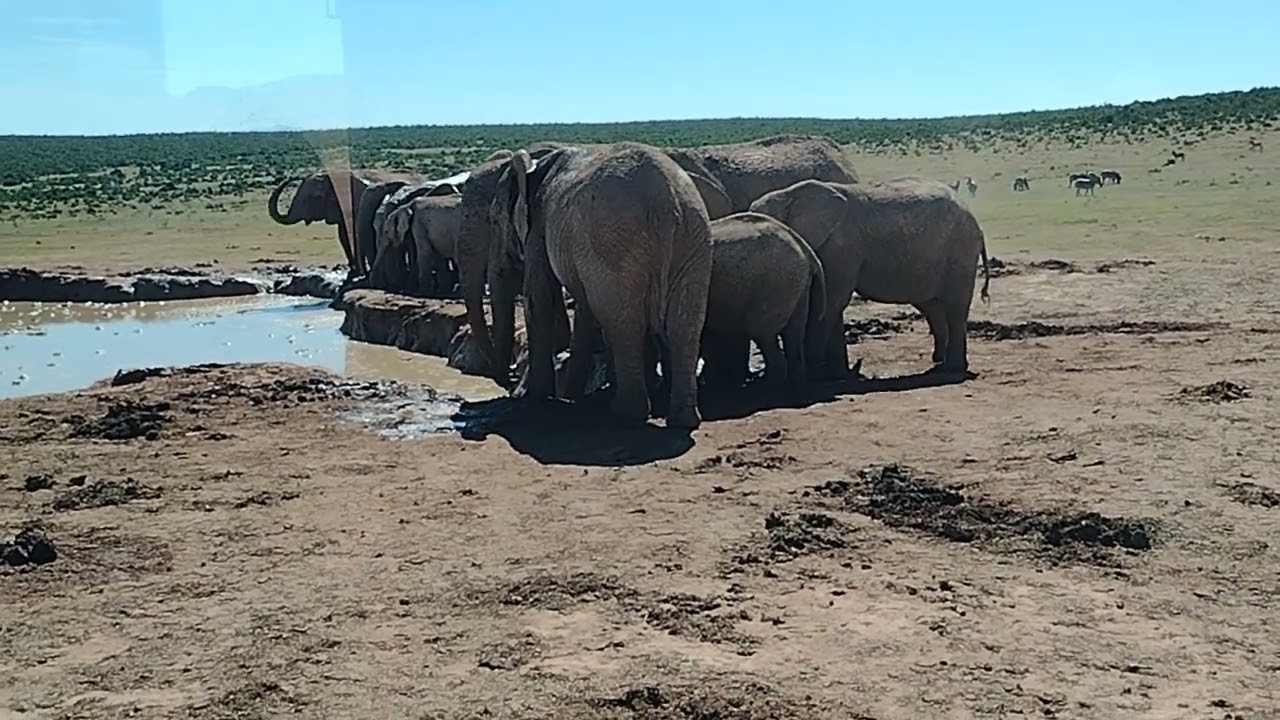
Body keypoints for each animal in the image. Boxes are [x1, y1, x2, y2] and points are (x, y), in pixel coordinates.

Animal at [489, 142, 714, 429]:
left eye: (494, 220)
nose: (505, 382)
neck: (535, 166)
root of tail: (667, 204)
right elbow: (582, 306)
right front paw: (570, 395)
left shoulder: (539, 228)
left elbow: (538, 298)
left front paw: (534, 397)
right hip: (694, 240)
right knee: (684, 325)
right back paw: (683, 419)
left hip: (614, 245)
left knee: (624, 323)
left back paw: (625, 411)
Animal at [698, 212, 827, 391]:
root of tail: (805, 249)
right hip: (797, 285)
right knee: (794, 335)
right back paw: (796, 387)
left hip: (776, 284)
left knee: (763, 334)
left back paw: (764, 388)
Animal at [749, 177, 991, 380]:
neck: (788, 194)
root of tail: (976, 222)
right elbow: (833, 305)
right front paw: (838, 374)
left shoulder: (840, 247)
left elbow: (828, 304)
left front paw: (818, 375)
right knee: (933, 305)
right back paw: (939, 362)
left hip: (960, 251)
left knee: (955, 307)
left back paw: (952, 368)